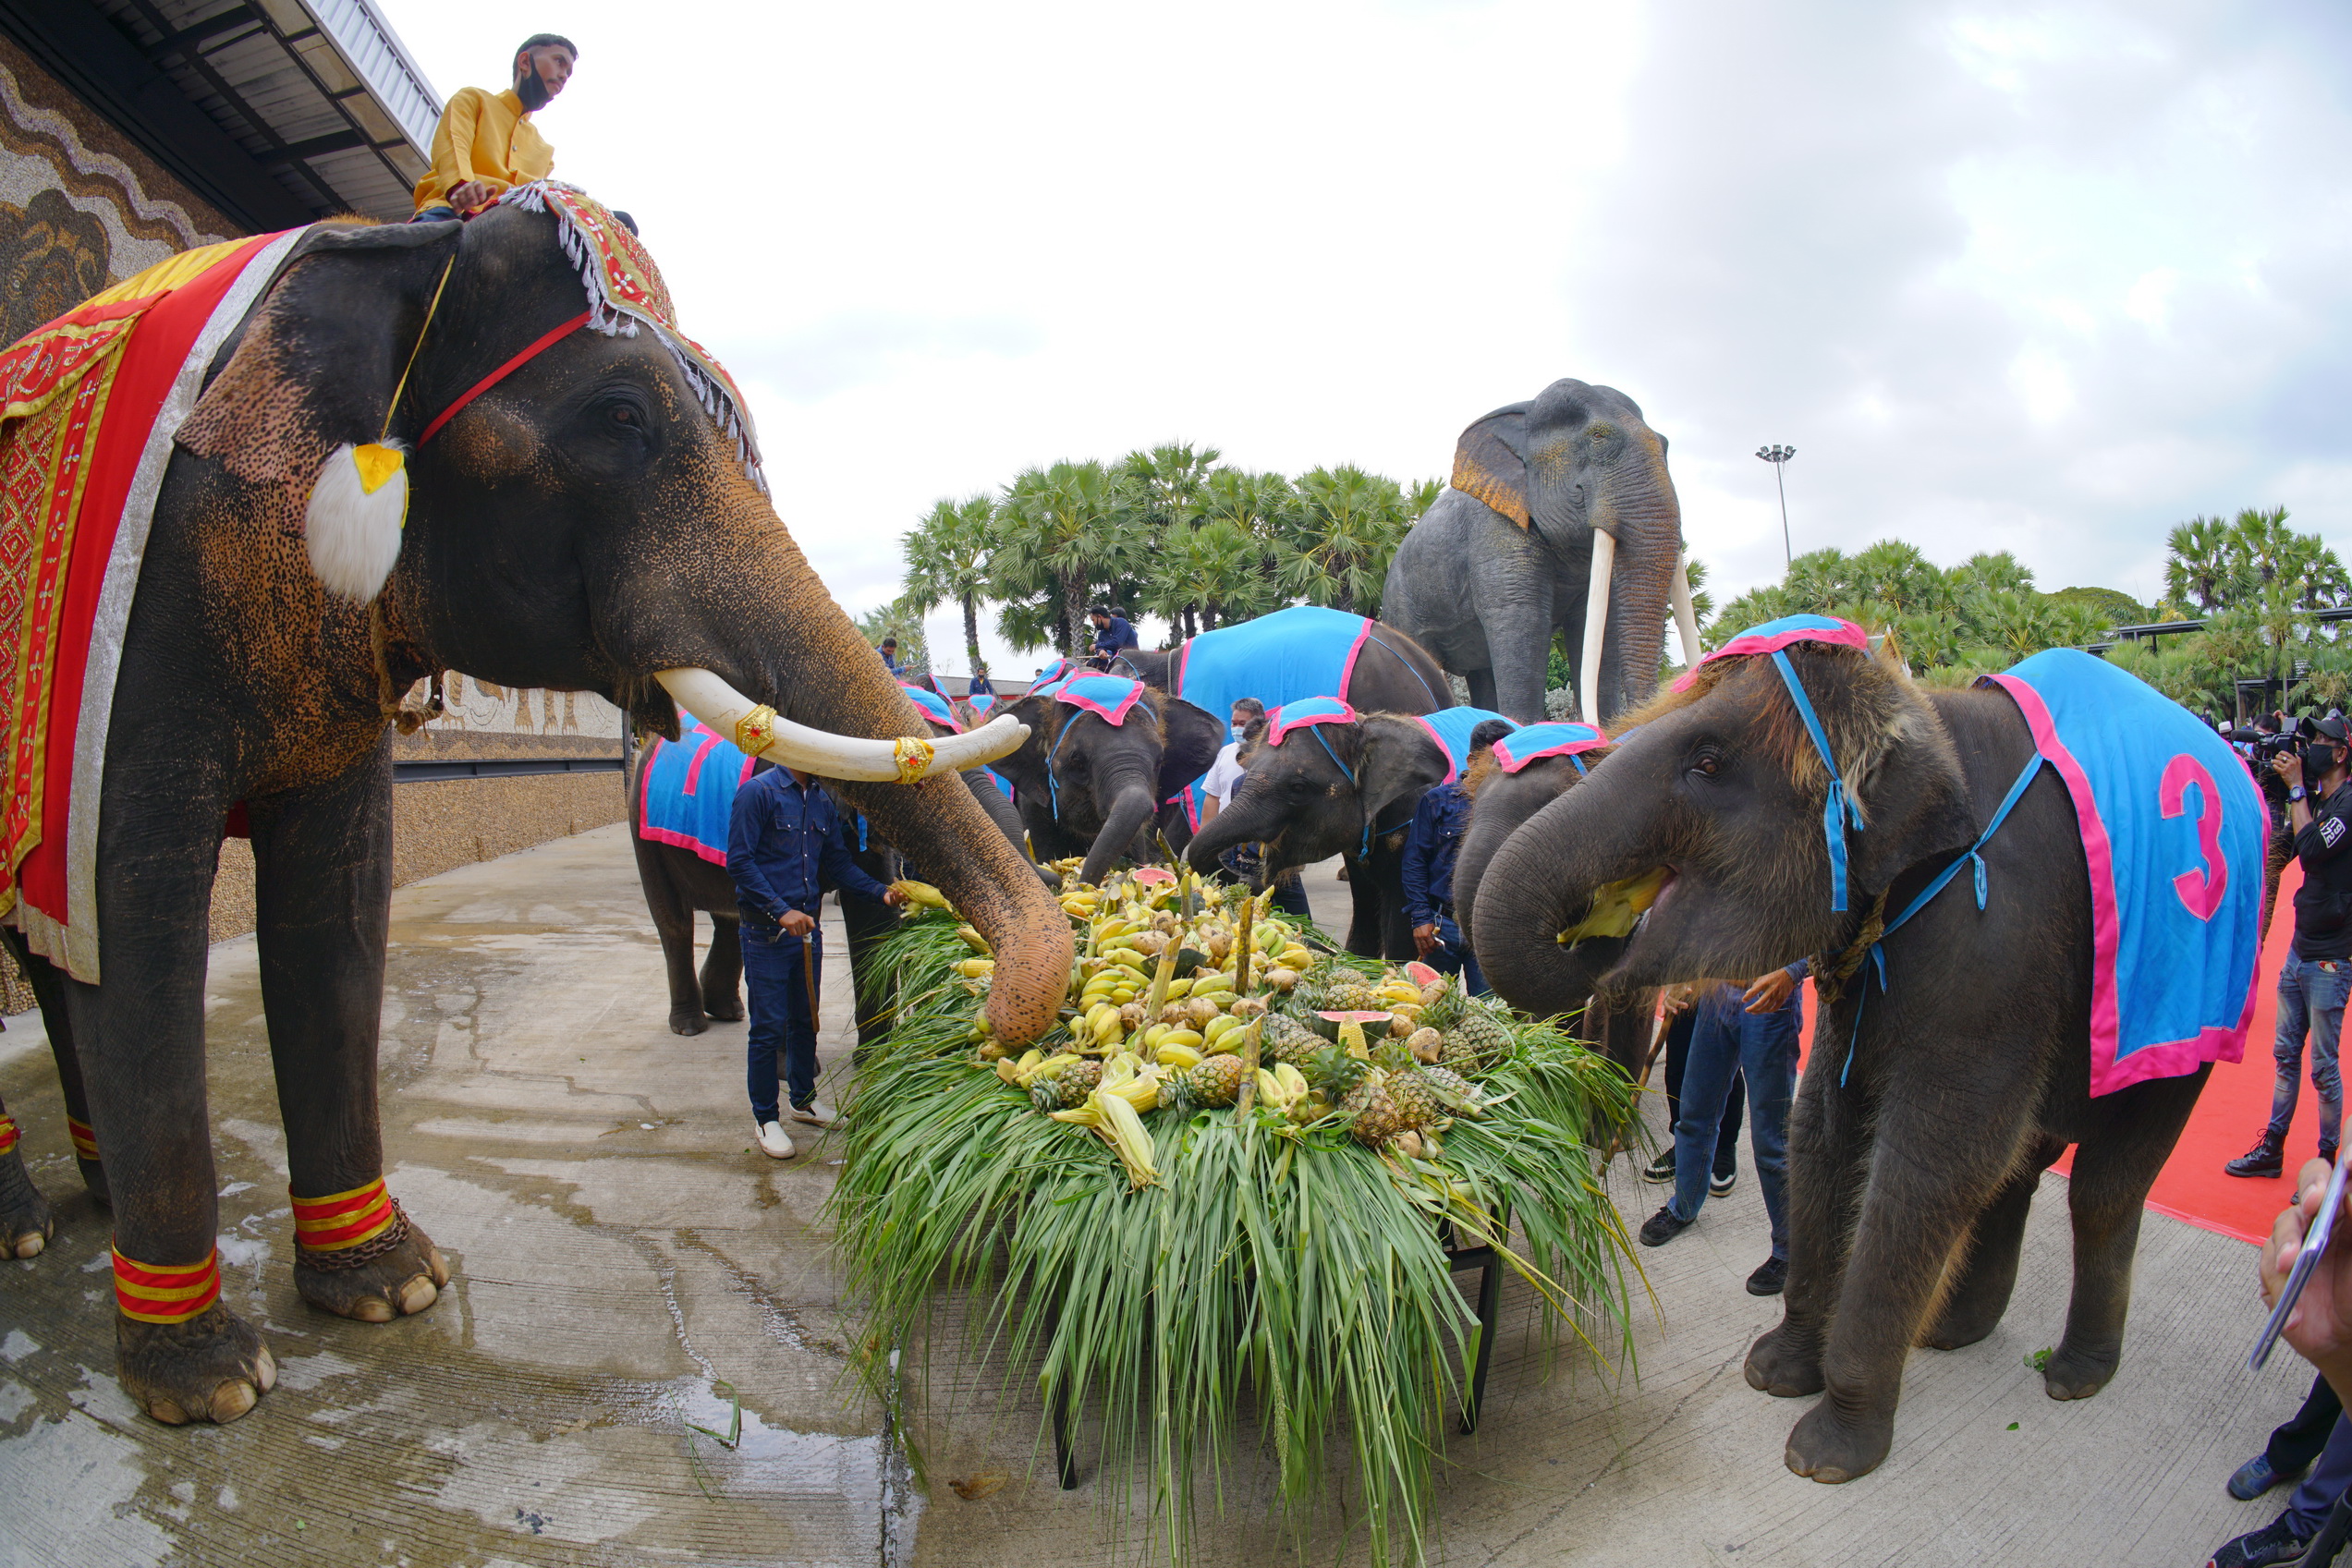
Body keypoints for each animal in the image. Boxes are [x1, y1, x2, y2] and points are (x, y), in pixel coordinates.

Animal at [0, 194, 1069, 1426]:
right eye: (618, 416)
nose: (991, 1020)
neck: (398, 244)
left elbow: (336, 908)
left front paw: (392, 1288)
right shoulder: (142, 623)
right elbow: (138, 912)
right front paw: (213, 1385)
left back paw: (87, 1192)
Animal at [1185, 707, 1513, 958]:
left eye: (1298, 787)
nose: (1244, 877)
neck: (1362, 728)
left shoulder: (1409, 822)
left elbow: (1402, 914)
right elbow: (1365, 903)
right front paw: (1360, 962)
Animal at [1381, 379, 1702, 726]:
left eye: (1665, 445)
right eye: (1598, 437)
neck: (1523, 412)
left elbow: (1595, 623)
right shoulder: (1497, 535)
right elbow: (1524, 617)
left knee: (1482, 674)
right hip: (1401, 606)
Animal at [1471, 629, 2254, 1483]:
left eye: (1707, 763)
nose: (1600, 928)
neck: (1919, 713)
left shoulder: (2000, 946)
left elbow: (1929, 1162)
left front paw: (1823, 1455)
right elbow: (1822, 1125)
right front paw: (1774, 1371)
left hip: (2197, 1004)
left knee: (2102, 1184)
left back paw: (2072, 1376)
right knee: (2022, 1162)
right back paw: (1954, 1331)